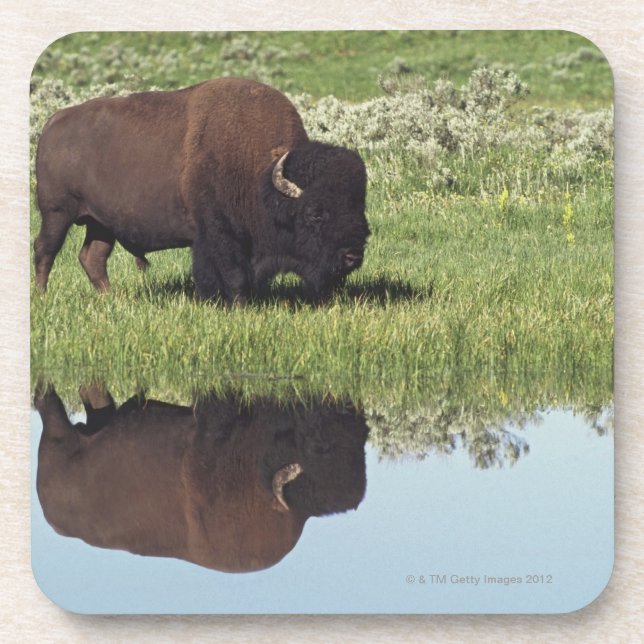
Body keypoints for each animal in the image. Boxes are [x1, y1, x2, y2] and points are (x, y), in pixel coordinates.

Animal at [34, 78, 370, 302]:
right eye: (315, 213)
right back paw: (42, 296)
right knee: (45, 250)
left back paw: (111, 298)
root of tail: (53, 122)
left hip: (101, 224)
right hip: (57, 213)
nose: (353, 255)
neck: (261, 175)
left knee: (92, 257)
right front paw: (236, 305)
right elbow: (232, 276)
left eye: (358, 206)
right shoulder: (217, 235)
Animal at [35, 386, 369, 572]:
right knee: (46, 402)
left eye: (361, 439)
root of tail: (50, 515)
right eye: (317, 444)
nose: (349, 407)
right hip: (58, 432)